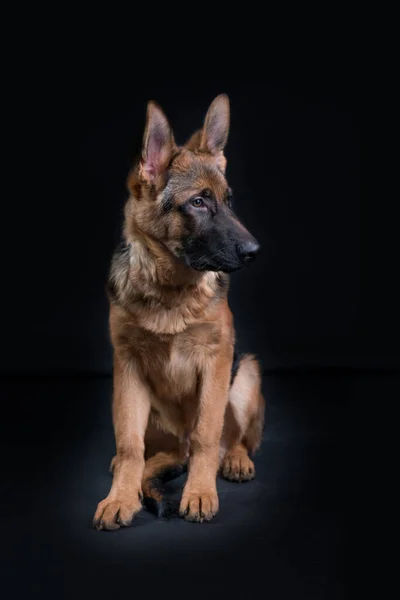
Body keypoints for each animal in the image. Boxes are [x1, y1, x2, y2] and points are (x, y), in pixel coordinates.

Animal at [94, 94, 266, 528]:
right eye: (198, 202)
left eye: (228, 200)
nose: (255, 252)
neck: (170, 290)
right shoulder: (128, 365)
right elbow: (129, 444)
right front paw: (121, 496)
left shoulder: (217, 360)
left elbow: (207, 435)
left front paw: (200, 492)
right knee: (150, 450)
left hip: (246, 374)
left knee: (232, 438)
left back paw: (235, 459)